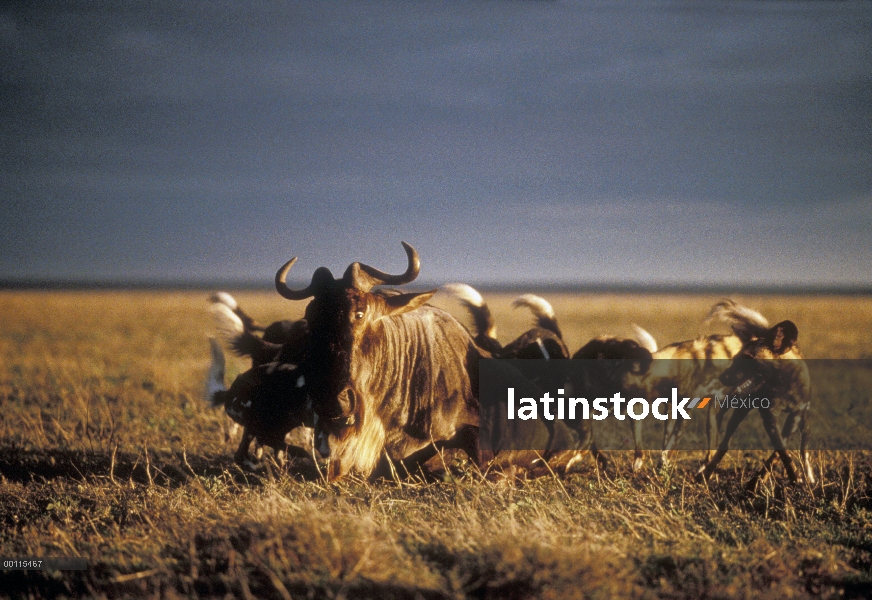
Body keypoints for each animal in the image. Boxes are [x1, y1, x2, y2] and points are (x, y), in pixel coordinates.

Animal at [696, 318, 816, 488]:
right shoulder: (769, 418)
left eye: (748, 359)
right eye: (735, 359)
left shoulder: (795, 416)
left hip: (805, 422)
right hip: (738, 412)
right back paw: (705, 474)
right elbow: (782, 451)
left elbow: (779, 452)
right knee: (724, 443)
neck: (782, 385)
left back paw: (810, 477)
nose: (722, 377)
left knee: (804, 449)